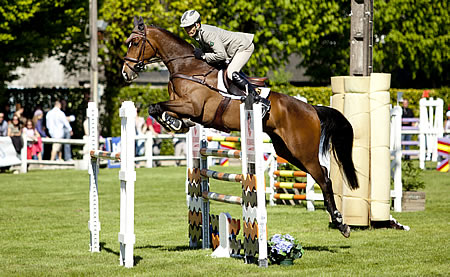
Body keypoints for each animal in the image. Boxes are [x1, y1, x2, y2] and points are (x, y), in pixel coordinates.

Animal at [120, 16, 358, 237]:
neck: (187, 67)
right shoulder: (184, 106)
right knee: (322, 173)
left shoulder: (192, 106)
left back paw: (341, 223)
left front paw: (173, 122)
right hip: (288, 151)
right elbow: (158, 109)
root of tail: (312, 109)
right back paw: (338, 220)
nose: (126, 73)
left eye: (134, 42)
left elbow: (155, 106)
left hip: (303, 151)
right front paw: (176, 122)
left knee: (324, 179)